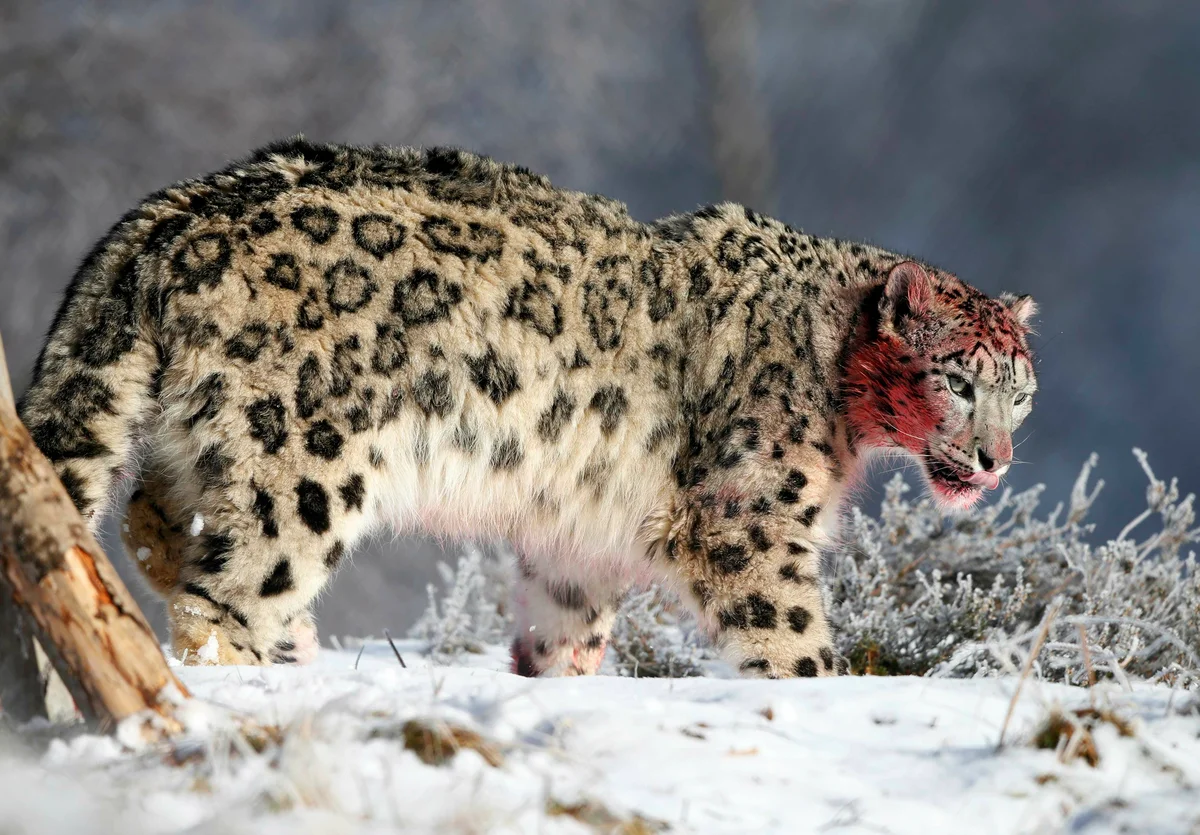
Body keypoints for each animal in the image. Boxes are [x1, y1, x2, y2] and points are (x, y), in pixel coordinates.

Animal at [16, 140, 1041, 676]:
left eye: (1020, 393)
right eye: (957, 380)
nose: (994, 458)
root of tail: (178, 210)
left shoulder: (578, 543)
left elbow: (565, 632)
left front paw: (558, 680)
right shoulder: (749, 519)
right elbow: (788, 635)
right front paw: (812, 691)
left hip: (209, 448)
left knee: (151, 516)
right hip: (301, 472)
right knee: (218, 596)